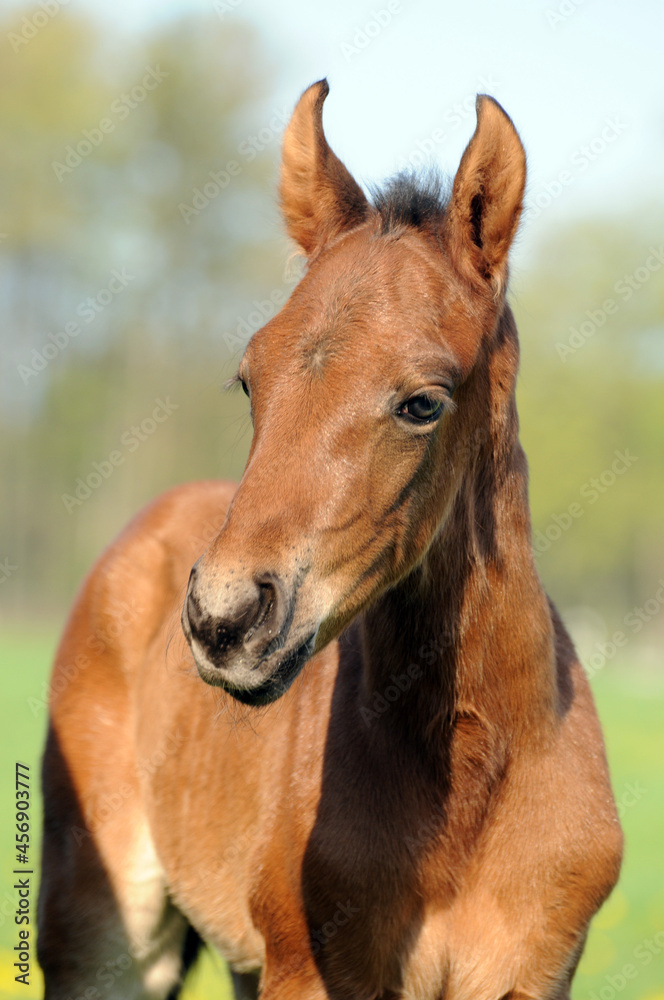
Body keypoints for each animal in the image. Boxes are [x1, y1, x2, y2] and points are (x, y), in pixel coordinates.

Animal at [38, 80, 623, 1000]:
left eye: (423, 402)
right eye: (251, 378)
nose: (223, 619)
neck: (474, 781)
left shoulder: (535, 973)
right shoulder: (307, 967)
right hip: (104, 928)